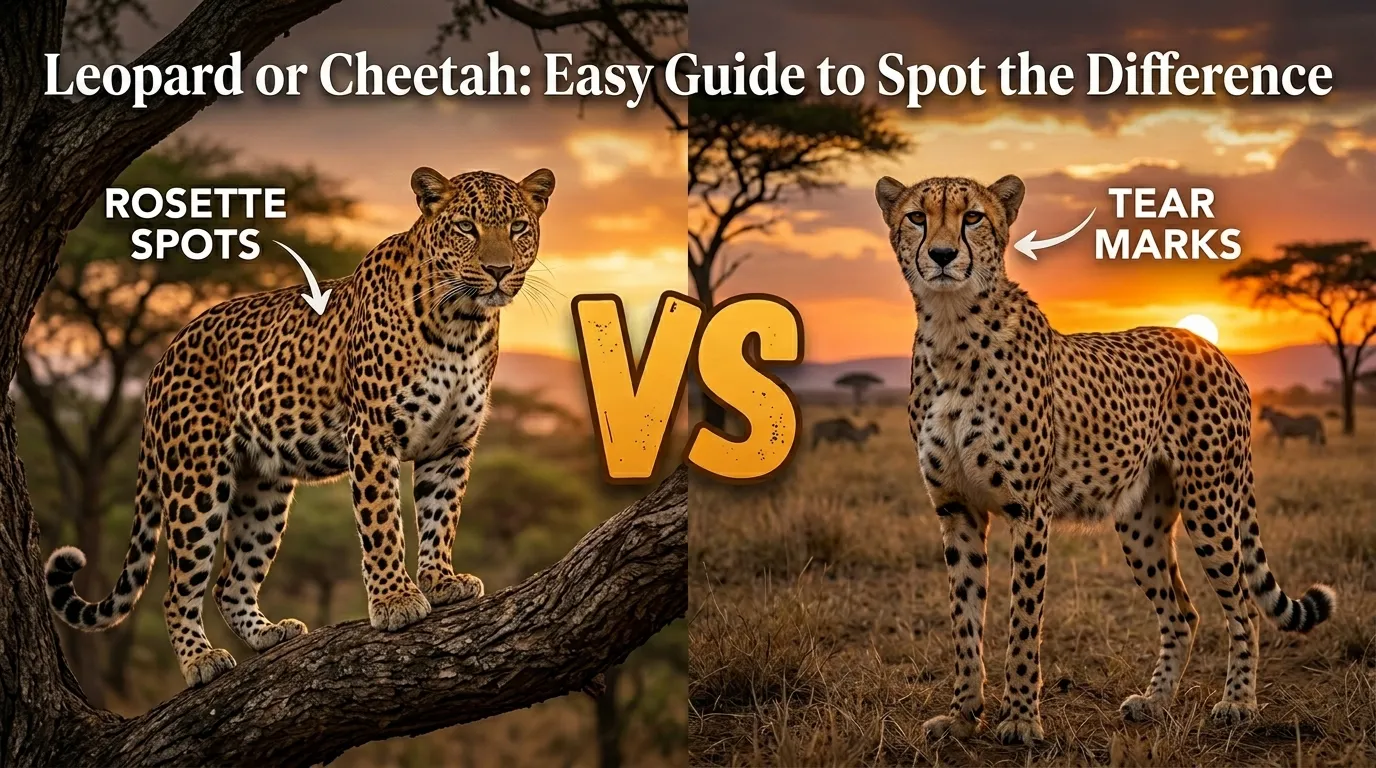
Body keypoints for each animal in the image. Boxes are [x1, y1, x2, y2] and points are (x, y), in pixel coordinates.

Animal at [44, 165, 556, 687]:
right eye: (466, 228)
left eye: (518, 227)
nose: (498, 270)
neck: (463, 324)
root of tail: (161, 361)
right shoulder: (372, 435)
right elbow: (382, 523)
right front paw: (395, 600)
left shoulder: (450, 445)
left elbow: (441, 517)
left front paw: (441, 580)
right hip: (196, 481)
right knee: (179, 588)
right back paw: (200, 661)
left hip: (262, 489)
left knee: (230, 581)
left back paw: (268, 634)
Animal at [873, 173, 1336, 745]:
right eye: (917, 216)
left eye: (973, 217)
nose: (941, 254)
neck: (951, 329)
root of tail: (1208, 344)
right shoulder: (956, 509)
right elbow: (965, 621)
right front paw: (962, 716)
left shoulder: (1030, 512)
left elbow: (1023, 622)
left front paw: (1020, 719)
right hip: (1140, 522)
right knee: (1182, 613)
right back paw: (1155, 702)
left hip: (1210, 504)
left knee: (1245, 607)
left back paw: (1238, 704)